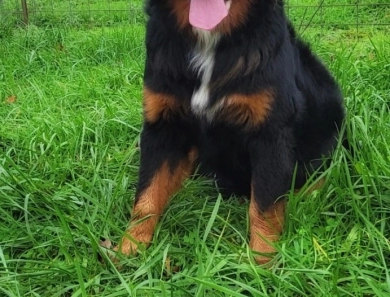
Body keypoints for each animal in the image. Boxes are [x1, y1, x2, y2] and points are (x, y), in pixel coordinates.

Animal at [112, 0, 344, 264]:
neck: (209, 40)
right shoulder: (162, 127)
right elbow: (147, 196)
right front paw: (129, 249)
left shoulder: (271, 134)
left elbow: (264, 205)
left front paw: (262, 262)